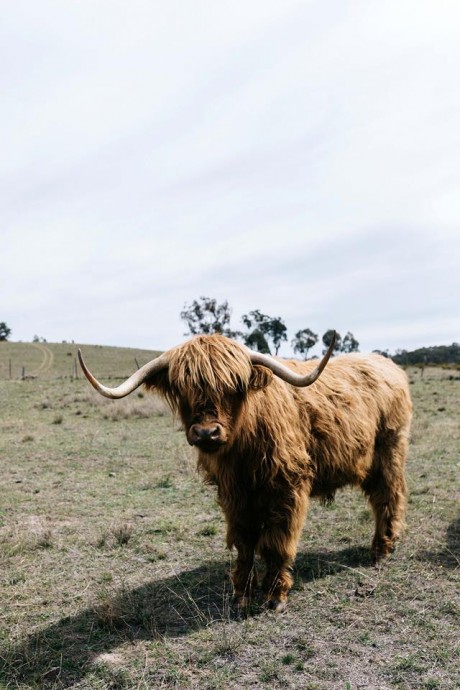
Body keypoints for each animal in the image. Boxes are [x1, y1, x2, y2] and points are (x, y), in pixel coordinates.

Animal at [77, 336, 412, 612]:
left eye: (233, 388)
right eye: (183, 389)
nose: (206, 432)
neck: (243, 449)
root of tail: (386, 363)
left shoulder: (288, 487)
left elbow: (277, 542)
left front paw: (275, 595)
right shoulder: (234, 495)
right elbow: (245, 541)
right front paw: (241, 594)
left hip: (389, 451)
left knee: (388, 496)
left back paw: (382, 549)